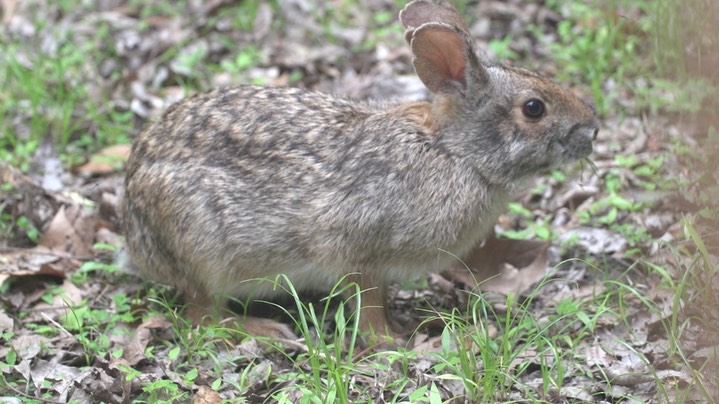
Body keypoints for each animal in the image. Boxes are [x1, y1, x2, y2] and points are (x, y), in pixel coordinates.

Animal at [121, 0, 600, 344]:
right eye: (534, 108)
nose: (592, 129)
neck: (454, 152)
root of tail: (133, 224)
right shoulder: (359, 250)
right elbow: (368, 308)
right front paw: (394, 342)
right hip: (201, 244)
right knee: (202, 316)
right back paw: (265, 330)